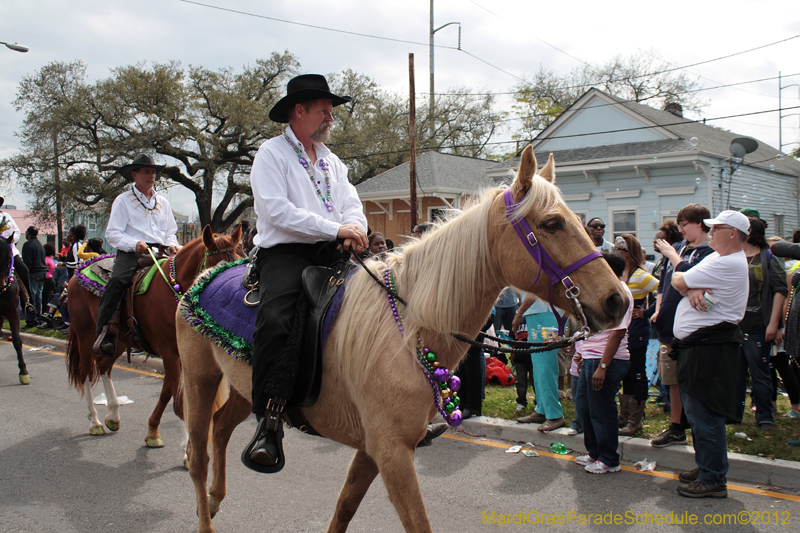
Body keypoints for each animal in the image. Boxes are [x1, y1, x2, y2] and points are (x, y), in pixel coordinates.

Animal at [66, 224, 241, 458]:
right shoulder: (170, 353)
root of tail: (78, 272)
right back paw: (95, 421)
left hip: (119, 341)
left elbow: (167, 393)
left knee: (103, 367)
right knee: (85, 373)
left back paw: (113, 415)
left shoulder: (176, 355)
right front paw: (187, 451)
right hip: (85, 335)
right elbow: (178, 400)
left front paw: (152, 433)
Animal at [177, 147, 632, 532]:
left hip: (243, 387)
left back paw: (216, 499)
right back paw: (206, 514)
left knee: (221, 430)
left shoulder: (376, 448)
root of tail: (202, 278)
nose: (619, 300)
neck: (410, 325)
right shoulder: (392, 451)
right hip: (200, 380)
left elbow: (344, 509)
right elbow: (415, 522)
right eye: (552, 223)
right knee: (198, 454)